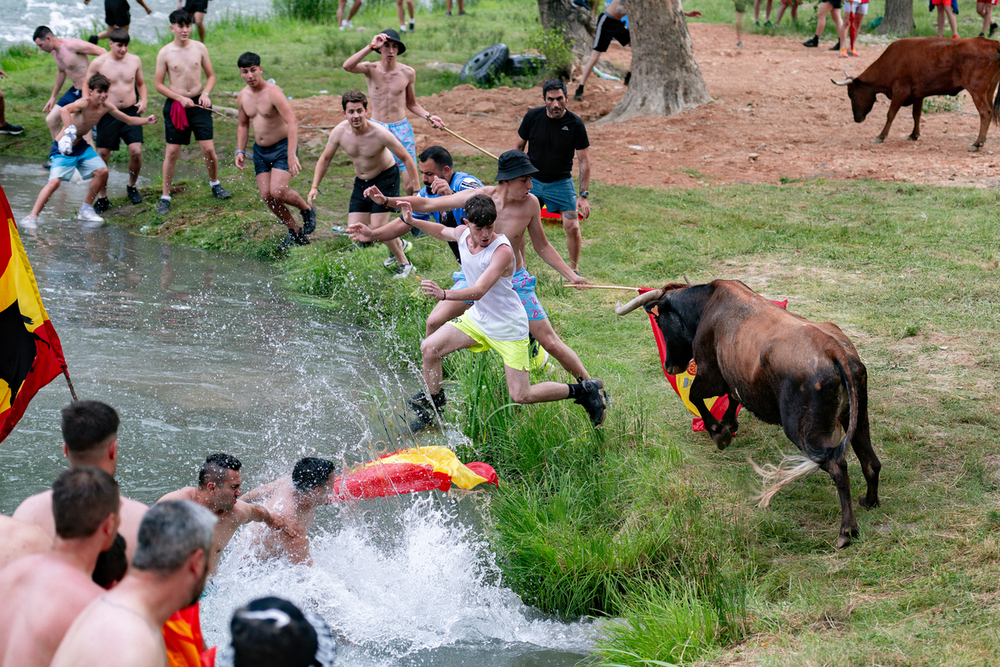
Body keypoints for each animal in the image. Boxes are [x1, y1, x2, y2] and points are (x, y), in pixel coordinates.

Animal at [616, 282, 884, 548]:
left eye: (660, 322)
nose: (670, 366)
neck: (705, 304)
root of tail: (835, 349)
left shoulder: (710, 376)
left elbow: (695, 396)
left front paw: (719, 433)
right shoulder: (732, 378)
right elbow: (734, 397)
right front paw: (728, 425)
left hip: (804, 430)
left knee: (838, 466)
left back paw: (846, 530)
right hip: (858, 417)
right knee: (870, 461)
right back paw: (869, 501)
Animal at [832, 36, 1000, 153]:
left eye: (851, 94)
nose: (857, 119)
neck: (892, 61)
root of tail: (992, 43)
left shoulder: (900, 91)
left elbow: (890, 114)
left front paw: (881, 136)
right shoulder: (919, 94)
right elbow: (916, 115)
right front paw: (914, 135)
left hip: (976, 90)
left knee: (985, 113)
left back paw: (977, 143)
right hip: (989, 90)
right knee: (990, 112)